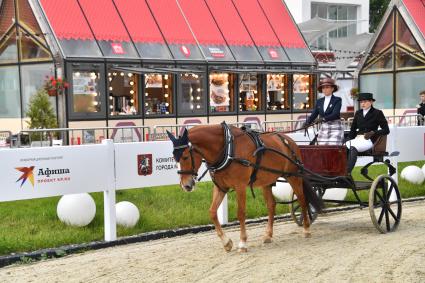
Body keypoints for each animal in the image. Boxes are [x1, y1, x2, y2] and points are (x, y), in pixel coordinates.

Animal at [166, 122, 322, 253]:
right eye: (174, 157)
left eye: (185, 157)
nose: (186, 185)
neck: (227, 148)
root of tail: (288, 140)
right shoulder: (221, 187)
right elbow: (212, 212)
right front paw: (226, 242)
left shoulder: (240, 186)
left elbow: (241, 213)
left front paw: (242, 243)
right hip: (267, 182)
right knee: (271, 205)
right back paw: (268, 235)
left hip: (293, 176)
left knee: (302, 200)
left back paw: (306, 229)